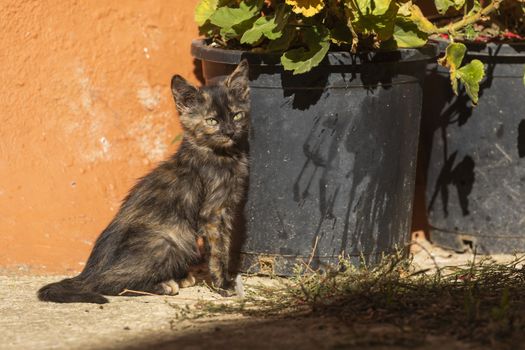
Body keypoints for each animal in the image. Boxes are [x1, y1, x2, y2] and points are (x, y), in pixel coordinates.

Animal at [36, 60, 250, 304]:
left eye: (237, 116)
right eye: (212, 121)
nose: (230, 132)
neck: (223, 154)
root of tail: (88, 272)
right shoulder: (213, 213)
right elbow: (218, 250)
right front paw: (224, 283)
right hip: (170, 240)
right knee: (107, 283)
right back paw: (165, 285)